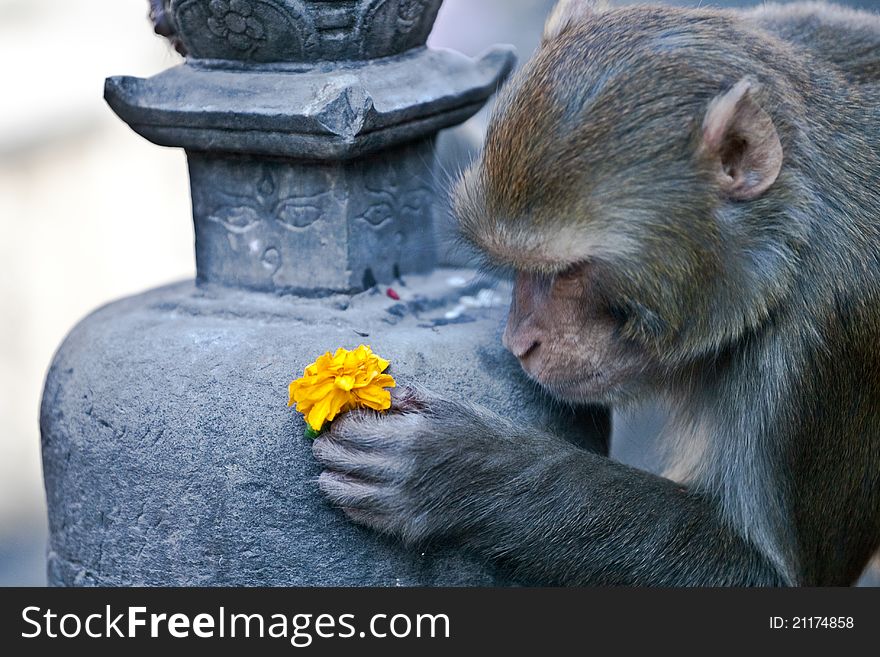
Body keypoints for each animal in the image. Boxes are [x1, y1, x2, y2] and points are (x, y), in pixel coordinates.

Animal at [312, 0, 880, 584]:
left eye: (569, 271)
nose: (520, 343)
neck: (789, 245)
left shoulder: (826, 336)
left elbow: (772, 576)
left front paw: (455, 463)